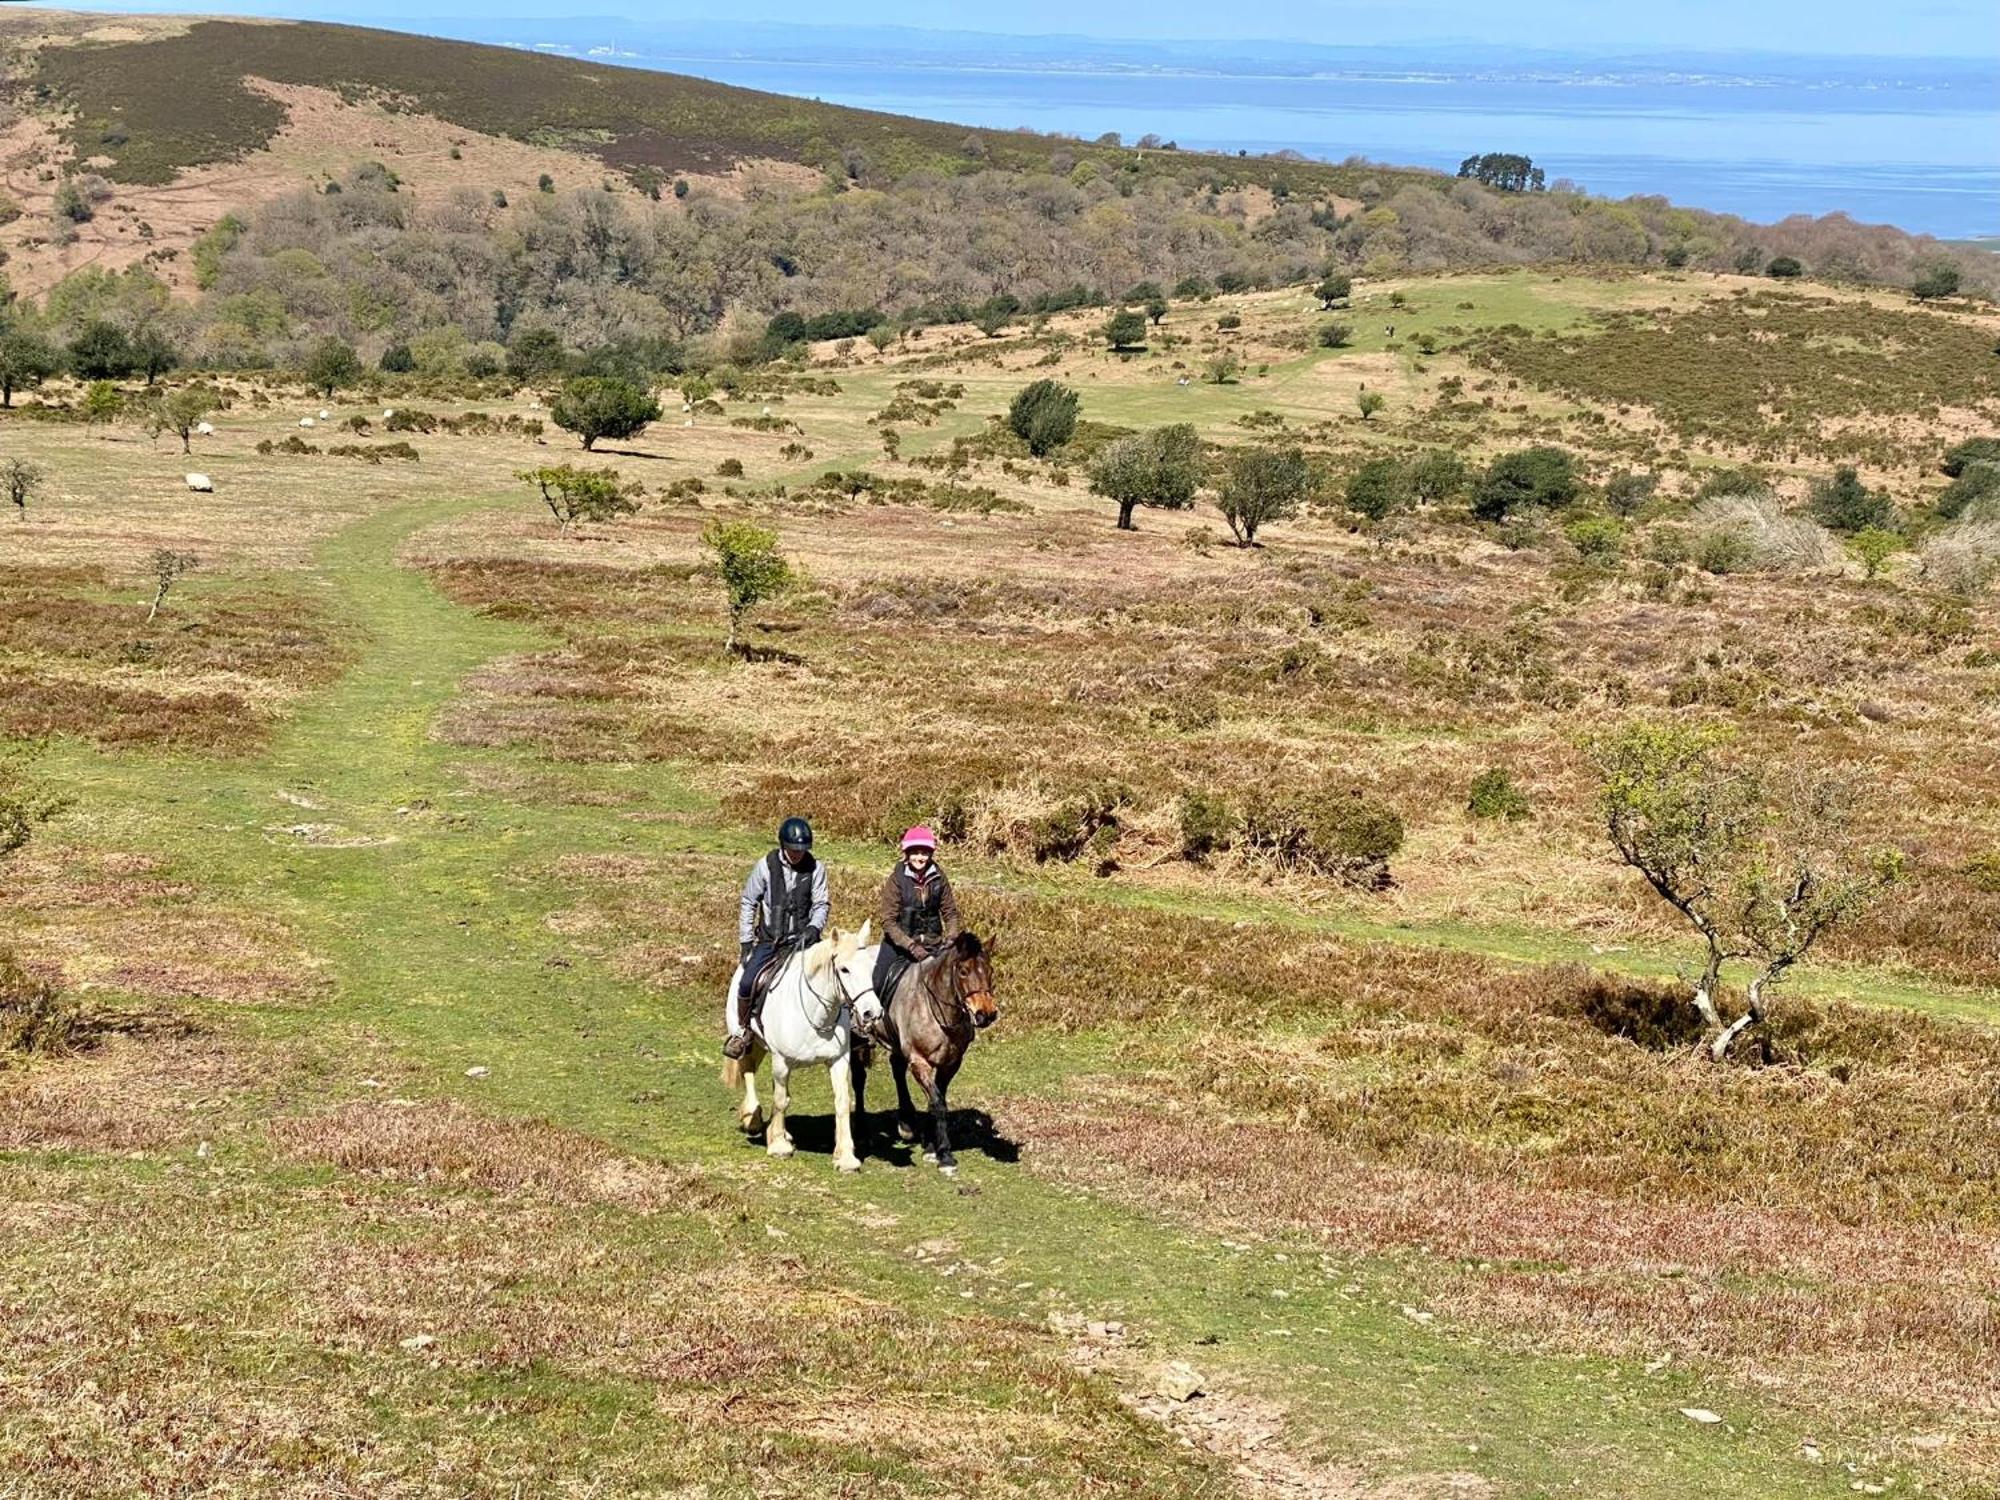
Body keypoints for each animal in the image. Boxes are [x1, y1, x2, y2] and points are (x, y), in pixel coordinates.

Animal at [716, 928, 880, 1176]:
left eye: (871, 968)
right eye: (844, 969)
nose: (873, 1013)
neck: (816, 1016)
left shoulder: (838, 1060)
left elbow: (842, 1102)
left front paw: (846, 1158)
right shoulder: (782, 1060)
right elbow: (781, 1100)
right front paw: (778, 1146)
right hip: (749, 1040)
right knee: (748, 1071)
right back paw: (752, 1119)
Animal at [852, 940, 992, 1176]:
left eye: (990, 970)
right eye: (963, 972)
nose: (987, 1014)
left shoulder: (951, 1063)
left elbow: (936, 1100)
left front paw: (930, 1147)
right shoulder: (919, 1062)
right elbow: (937, 1103)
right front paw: (945, 1155)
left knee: (897, 1068)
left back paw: (906, 1123)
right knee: (859, 1079)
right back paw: (862, 1132)